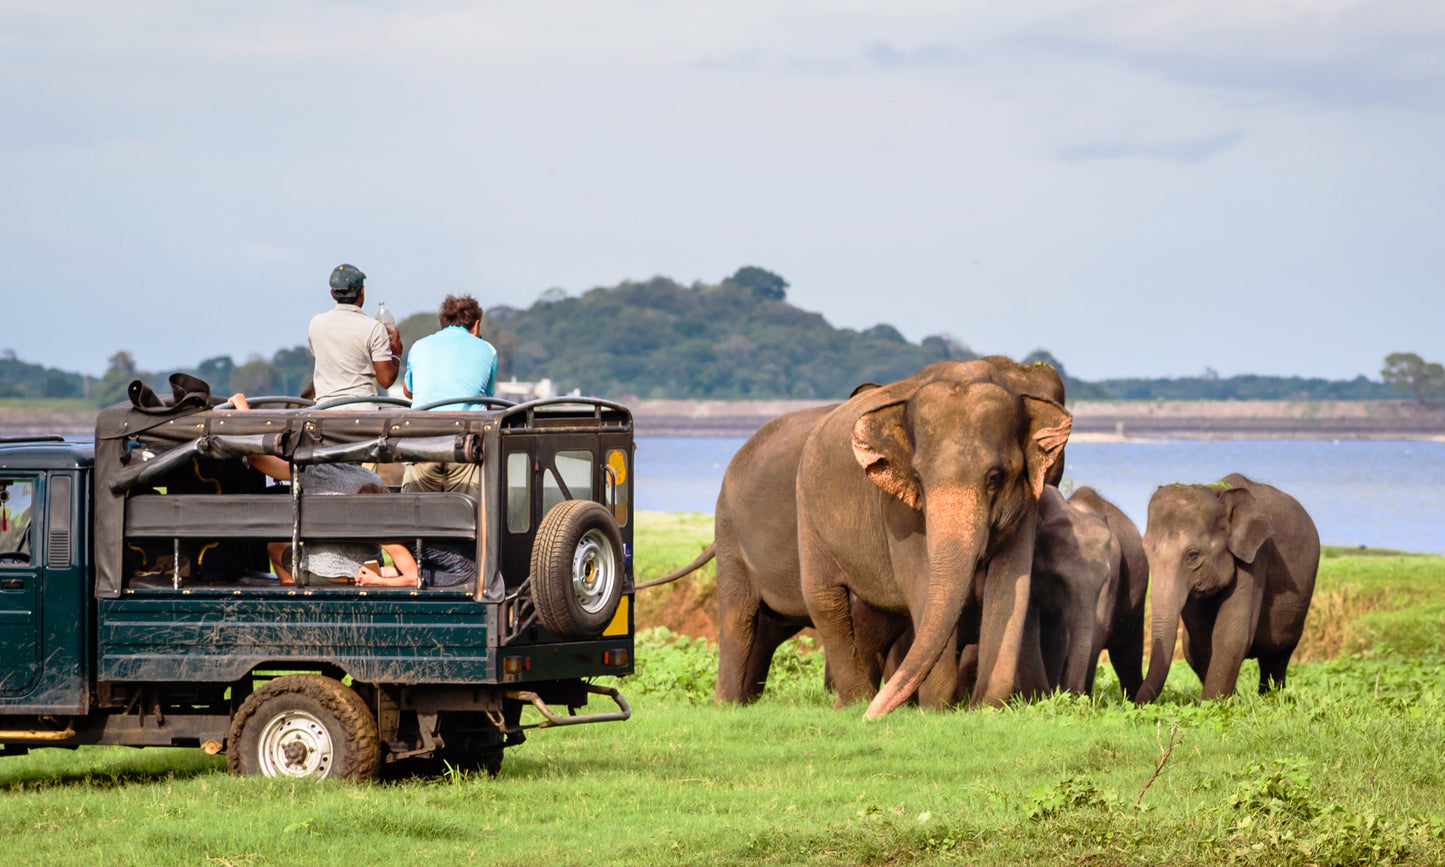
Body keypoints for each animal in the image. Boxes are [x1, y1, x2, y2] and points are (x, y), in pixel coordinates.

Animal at [712, 358, 1067, 707]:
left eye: (994, 478)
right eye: (918, 477)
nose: (876, 714)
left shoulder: (1027, 500)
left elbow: (1011, 586)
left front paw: (984, 708)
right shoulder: (897, 507)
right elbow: (921, 582)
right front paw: (935, 710)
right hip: (781, 520)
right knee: (800, 603)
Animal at [1135, 473, 1319, 703]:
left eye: (1193, 555)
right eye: (1145, 550)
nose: (1131, 702)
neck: (1219, 492)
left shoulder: (1255, 556)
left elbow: (1230, 634)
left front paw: (1210, 706)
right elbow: (1198, 643)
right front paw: (1226, 702)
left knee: (1277, 656)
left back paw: (1270, 699)